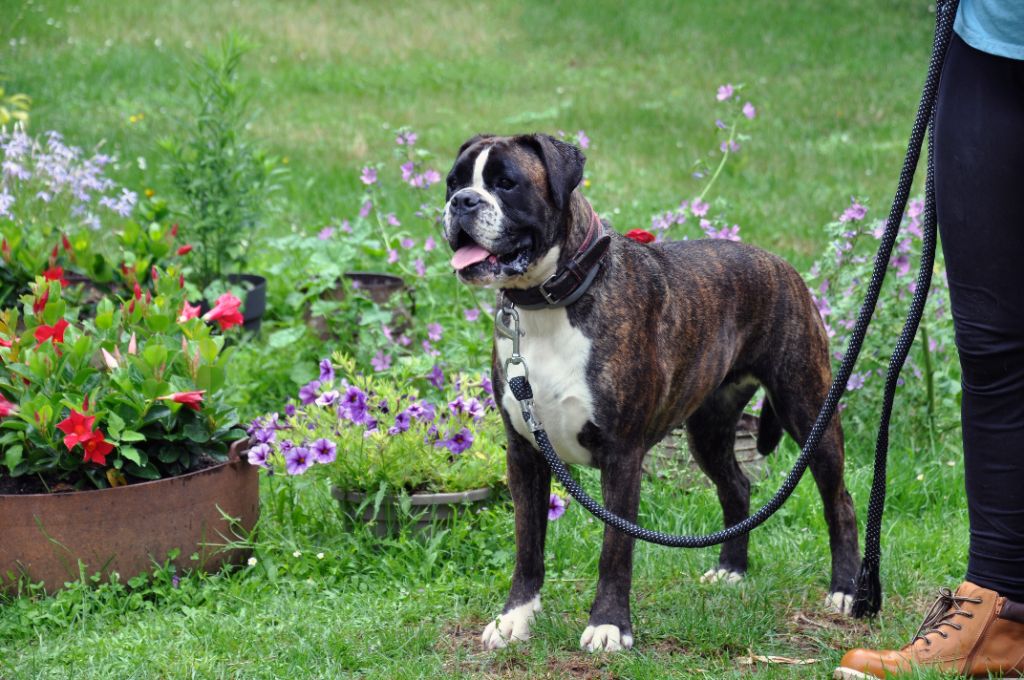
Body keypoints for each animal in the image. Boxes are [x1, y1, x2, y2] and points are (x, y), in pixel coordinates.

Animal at [444, 134, 860, 655]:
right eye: (453, 182)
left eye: (506, 183)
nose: (462, 202)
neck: (549, 303)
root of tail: (780, 264)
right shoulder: (525, 454)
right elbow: (528, 544)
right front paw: (515, 618)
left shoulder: (621, 457)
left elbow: (615, 549)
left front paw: (608, 625)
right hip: (709, 430)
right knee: (737, 486)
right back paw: (731, 570)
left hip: (808, 409)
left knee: (839, 501)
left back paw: (846, 590)